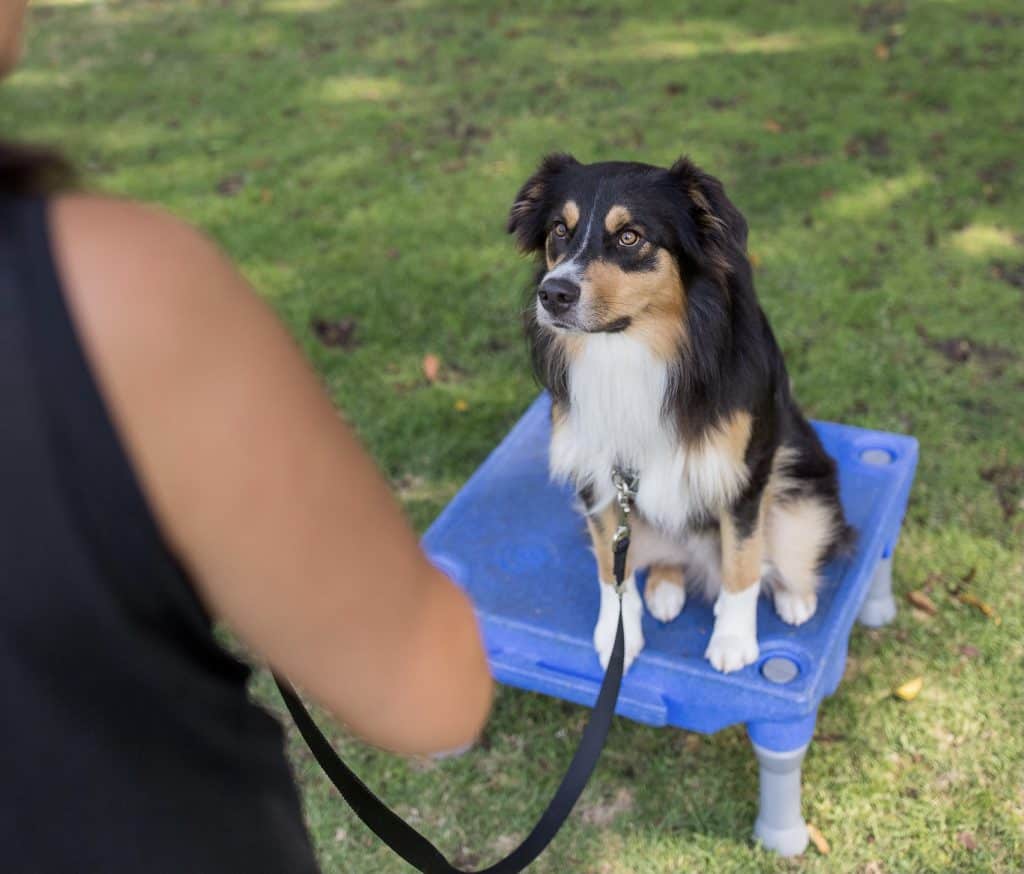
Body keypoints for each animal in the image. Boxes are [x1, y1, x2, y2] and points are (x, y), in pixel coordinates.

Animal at [507, 155, 851, 679]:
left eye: (631, 236)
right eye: (559, 230)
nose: (553, 294)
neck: (631, 347)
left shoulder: (744, 473)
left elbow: (742, 562)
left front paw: (733, 641)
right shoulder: (598, 474)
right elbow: (610, 567)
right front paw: (617, 636)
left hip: (800, 486)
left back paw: (795, 595)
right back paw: (665, 585)